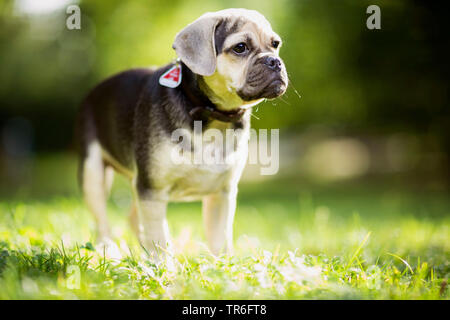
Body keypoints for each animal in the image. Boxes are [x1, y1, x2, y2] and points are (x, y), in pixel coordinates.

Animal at [76, 8, 288, 260]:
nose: (274, 61)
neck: (212, 115)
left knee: (134, 217)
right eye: (240, 48)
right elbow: (158, 237)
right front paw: (163, 267)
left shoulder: (222, 194)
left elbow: (219, 239)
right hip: (93, 174)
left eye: (275, 44)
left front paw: (221, 266)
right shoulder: (152, 190)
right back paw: (108, 249)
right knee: (102, 221)